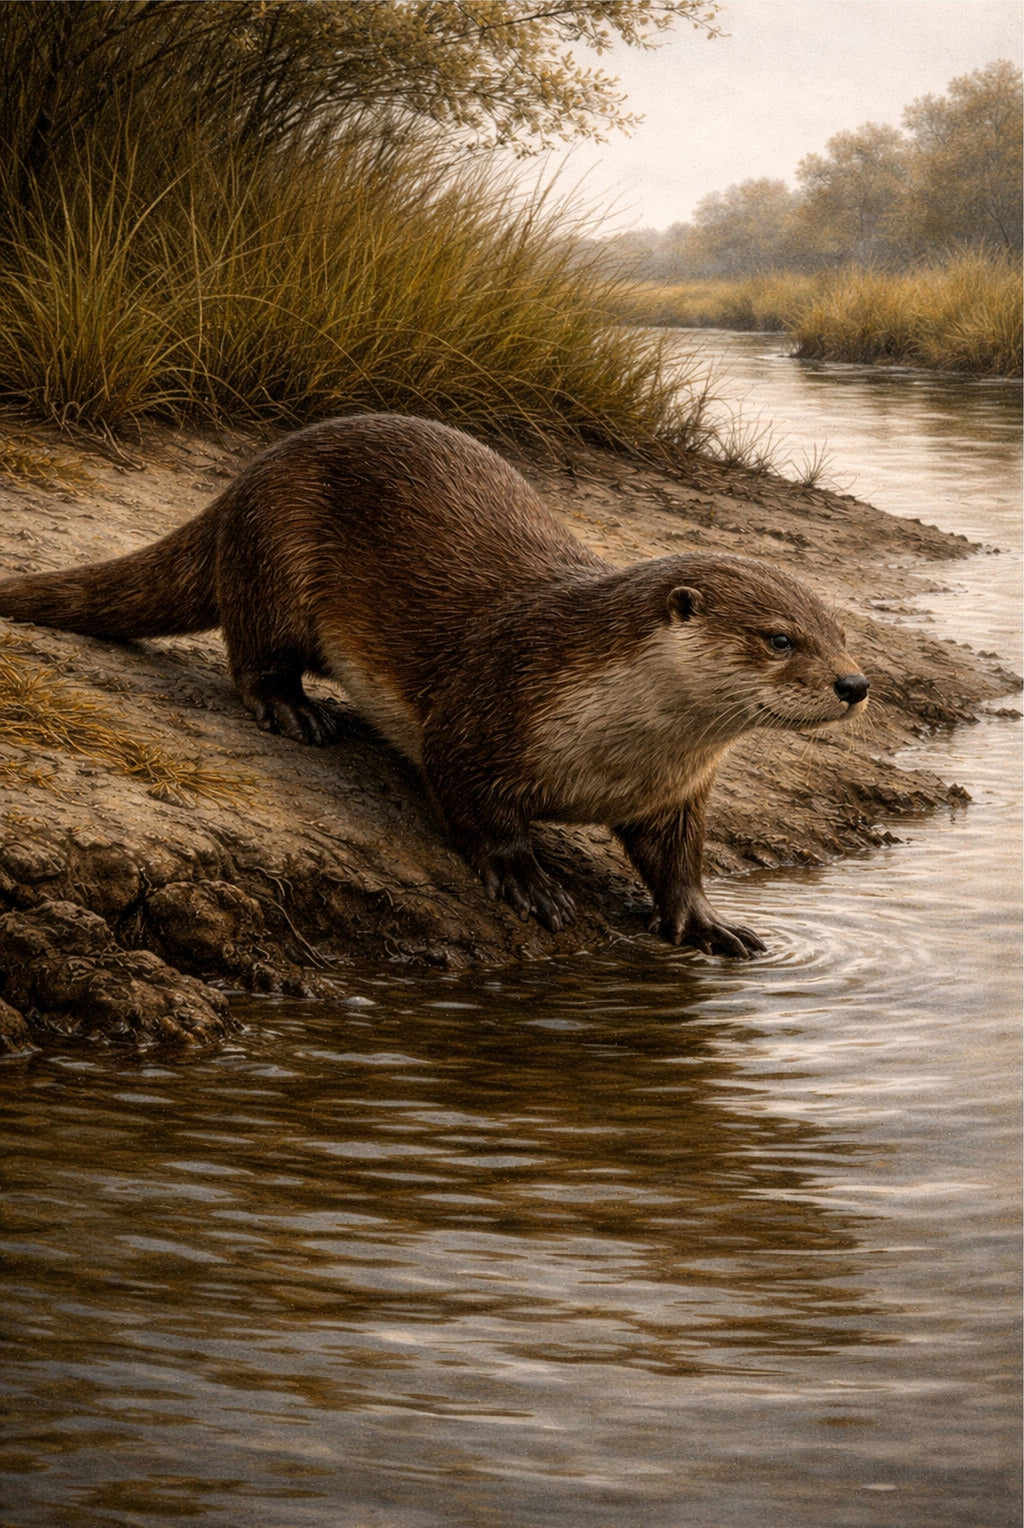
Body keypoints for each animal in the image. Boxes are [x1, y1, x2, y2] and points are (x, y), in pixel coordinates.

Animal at [0, 414, 868, 956]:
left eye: (839, 632)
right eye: (780, 639)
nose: (854, 684)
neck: (620, 752)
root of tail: (245, 477)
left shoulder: (677, 792)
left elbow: (679, 860)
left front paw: (708, 921)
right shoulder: (486, 710)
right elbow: (471, 802)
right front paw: (527, 880)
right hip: (272, 560)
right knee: (252, 655)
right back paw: (295, 710)